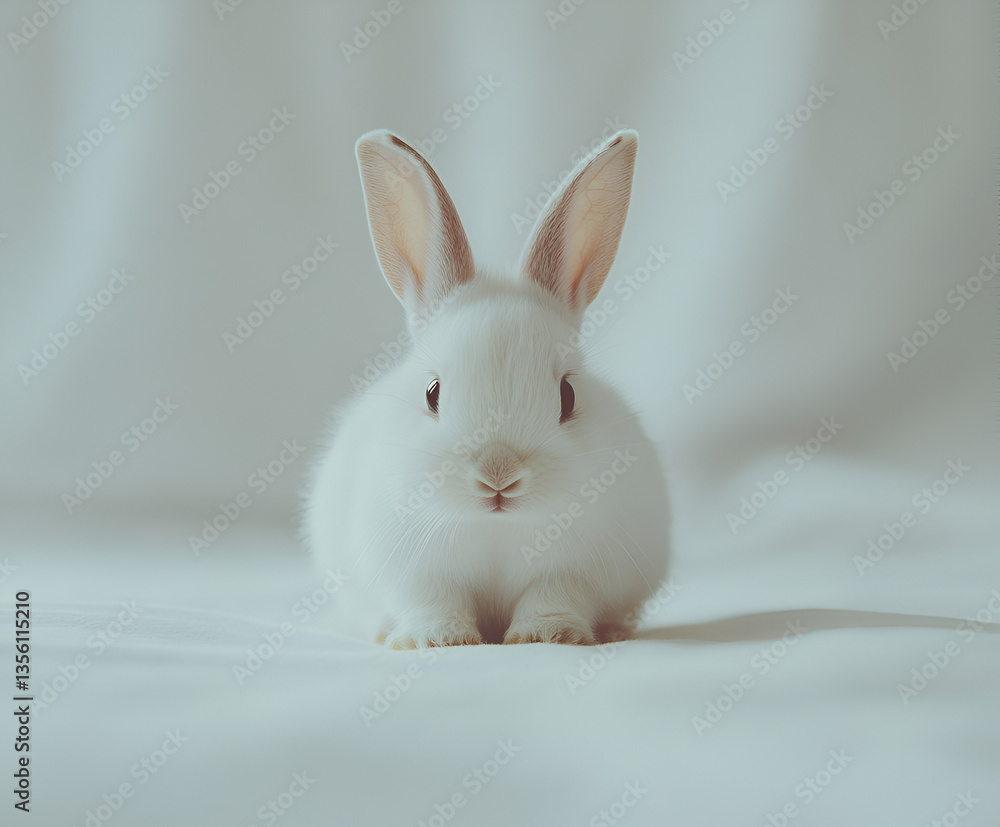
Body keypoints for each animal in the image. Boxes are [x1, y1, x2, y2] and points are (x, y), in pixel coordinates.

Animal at [303, 127, 669, 648]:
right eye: (432, 393)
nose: (499, 474)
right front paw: (437, 640)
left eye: (568, 396)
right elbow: (434, 601)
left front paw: (546, 636)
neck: (496, 530)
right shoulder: (415, 572)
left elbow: (553, 595)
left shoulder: (576, 571)